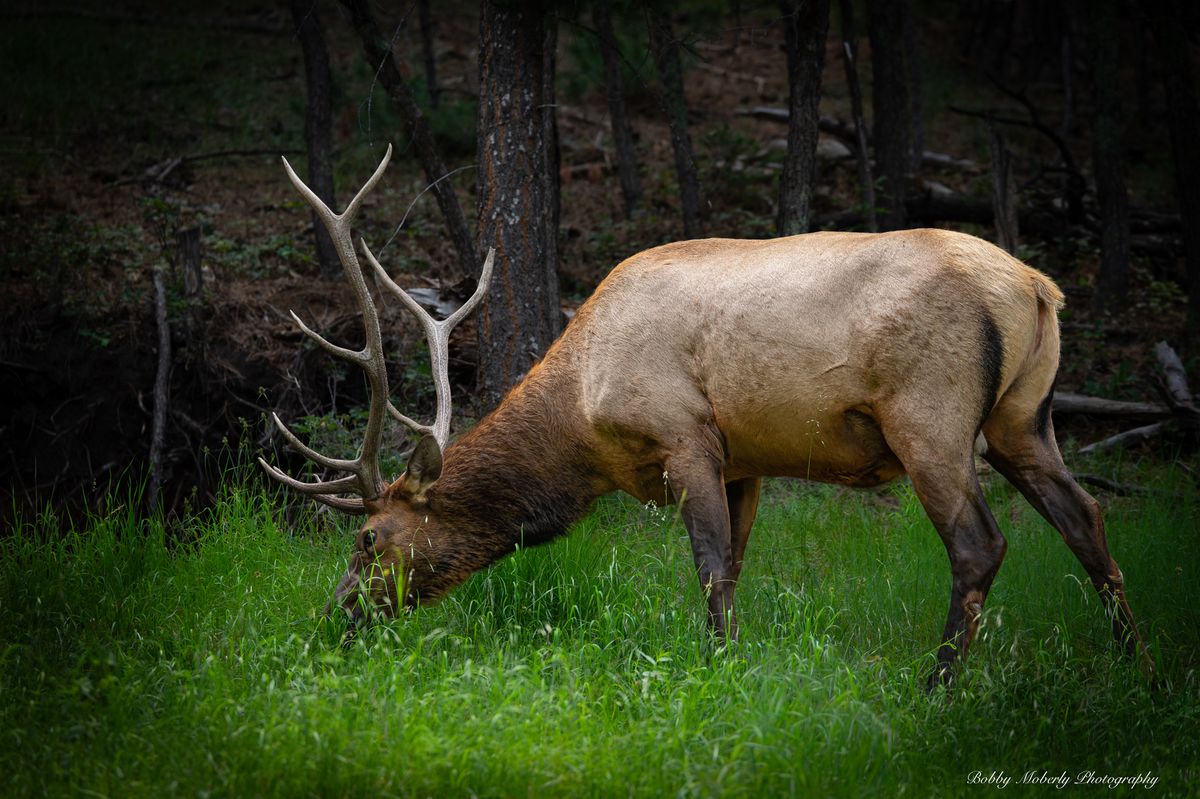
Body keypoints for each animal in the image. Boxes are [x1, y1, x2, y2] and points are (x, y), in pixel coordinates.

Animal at [261, 146, 1154, 684]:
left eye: (367, 539)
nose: (334, 619)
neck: (581, 416)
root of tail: (1037, 287)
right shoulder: (744, 458)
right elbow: (740, 564)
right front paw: (733, 658)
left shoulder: (685, 433)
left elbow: (710, 565)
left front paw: (713, 669)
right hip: (1023, 418)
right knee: (1087, 515)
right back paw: (1140, 671)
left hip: (929, 413)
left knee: (980, 542)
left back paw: (936, 685)